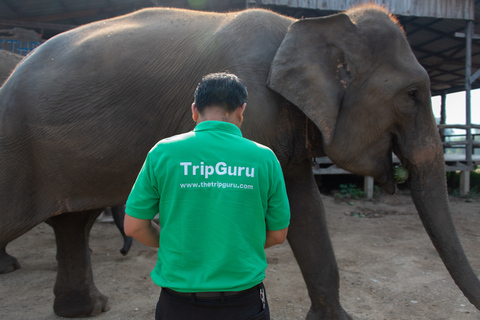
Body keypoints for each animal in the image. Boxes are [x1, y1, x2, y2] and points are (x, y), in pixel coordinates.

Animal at [0, 3, 478, 318]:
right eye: (412, 95)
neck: (302, 26)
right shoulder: (256, 113)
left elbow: (304, 209)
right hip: (17, 152)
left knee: (73, 224)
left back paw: (88, 309)